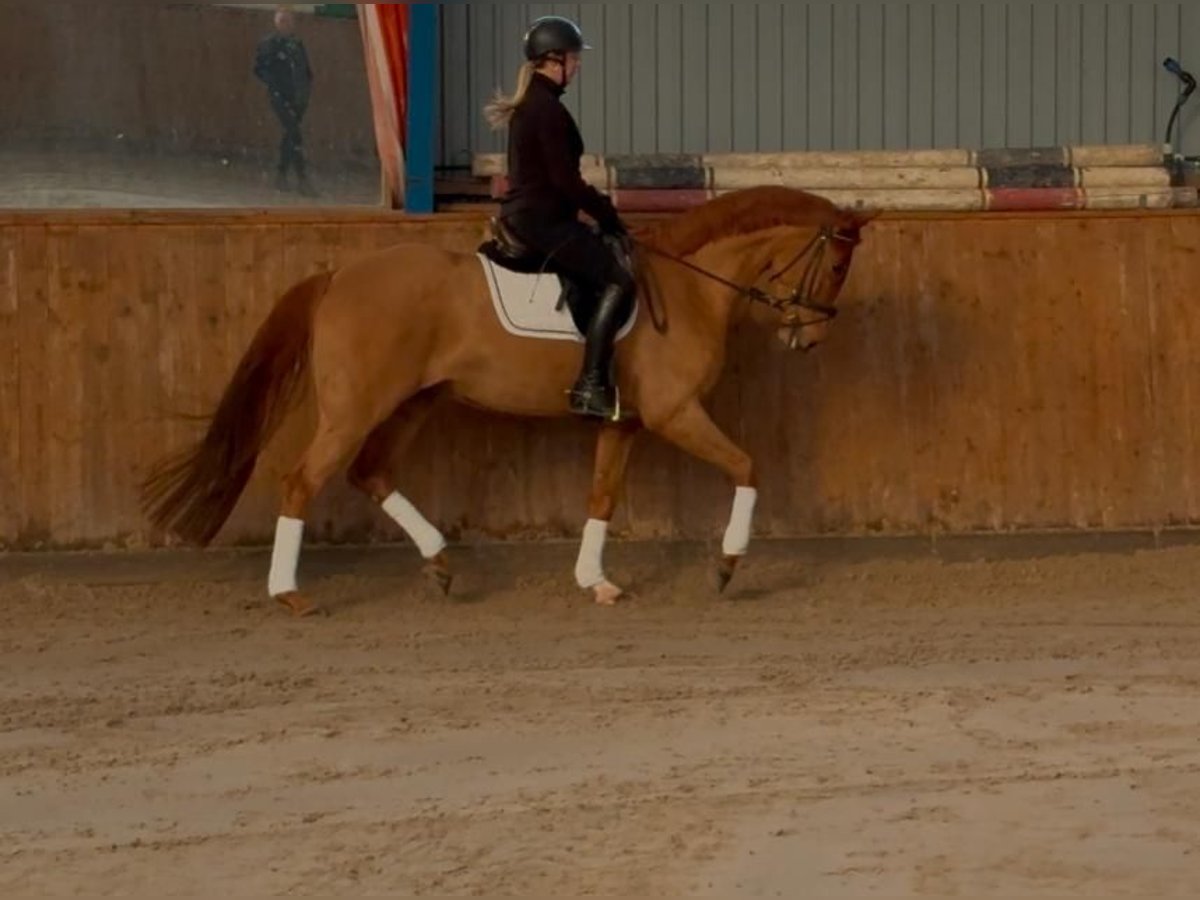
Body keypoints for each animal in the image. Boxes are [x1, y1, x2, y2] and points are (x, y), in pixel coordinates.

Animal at [140, 186, 878, 619]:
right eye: (838, 264)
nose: (808, 337)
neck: (690, 287)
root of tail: (338, 275)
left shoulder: (627, 421)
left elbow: (601, 496)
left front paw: (596, 581)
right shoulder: (676, 414)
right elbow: (748, 467)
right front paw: (726, 566)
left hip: (415, 402)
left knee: (371, 472)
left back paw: (441, 564)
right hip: (356, 409)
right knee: (302, 480)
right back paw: (290, 593)